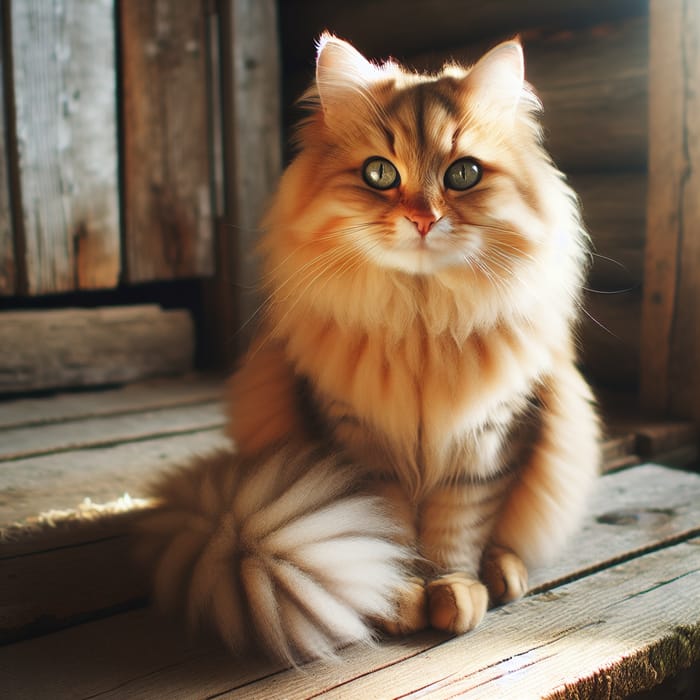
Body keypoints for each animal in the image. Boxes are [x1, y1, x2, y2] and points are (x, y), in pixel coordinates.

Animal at [139, 34, 600, 668]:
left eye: (463, 174)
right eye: (379, 173)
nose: (423, 219)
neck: (422, 326)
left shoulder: (488, 441)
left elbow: (457, 531)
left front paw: (453, 590)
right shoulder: (360, 442)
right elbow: (391, 529)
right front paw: (400, 595)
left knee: (505, 541)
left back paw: (503, 574)